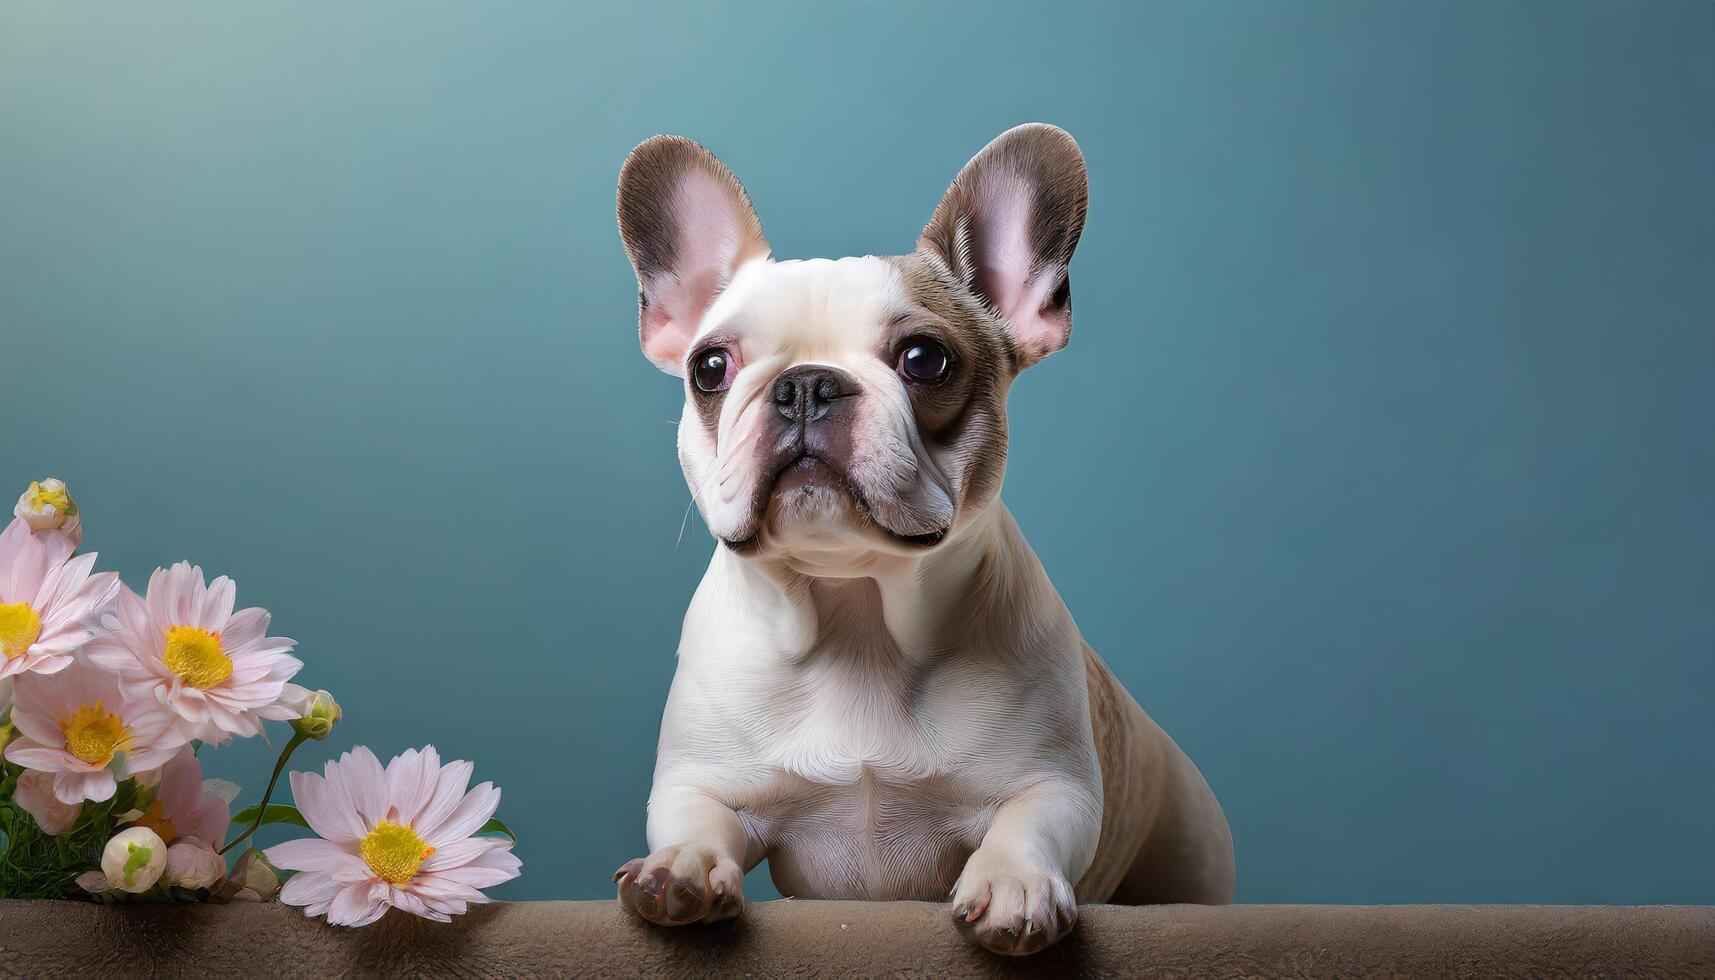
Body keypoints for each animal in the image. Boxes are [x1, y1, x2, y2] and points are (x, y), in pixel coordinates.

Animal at [613, 124, 1234, 961]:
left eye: (924, 360)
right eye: (709, 367)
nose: (806, 383)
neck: (854, 613)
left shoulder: (1056, 785)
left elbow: (1028, 826)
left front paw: (1011, 885)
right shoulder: (701, 782)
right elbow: (694, 818)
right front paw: (680, 866)